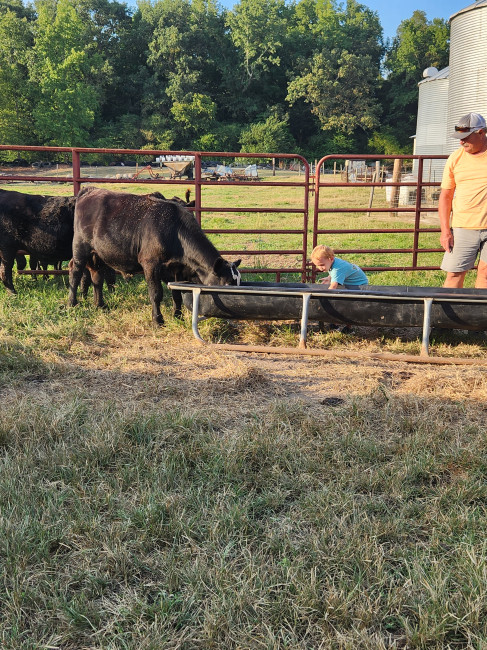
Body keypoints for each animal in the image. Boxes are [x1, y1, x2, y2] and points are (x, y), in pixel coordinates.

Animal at [69, 187, 242, 324]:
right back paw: (72, 303)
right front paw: (158, 320)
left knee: (97, 276)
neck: (174, 230)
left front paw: (177, 317)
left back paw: (100, 304)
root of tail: (90, 190)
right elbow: (156, 293)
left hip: (97, 254)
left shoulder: (177, 269)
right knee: (75, 272)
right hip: (80, 248)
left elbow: (177, 294)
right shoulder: (150, 264)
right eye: (226, 284)